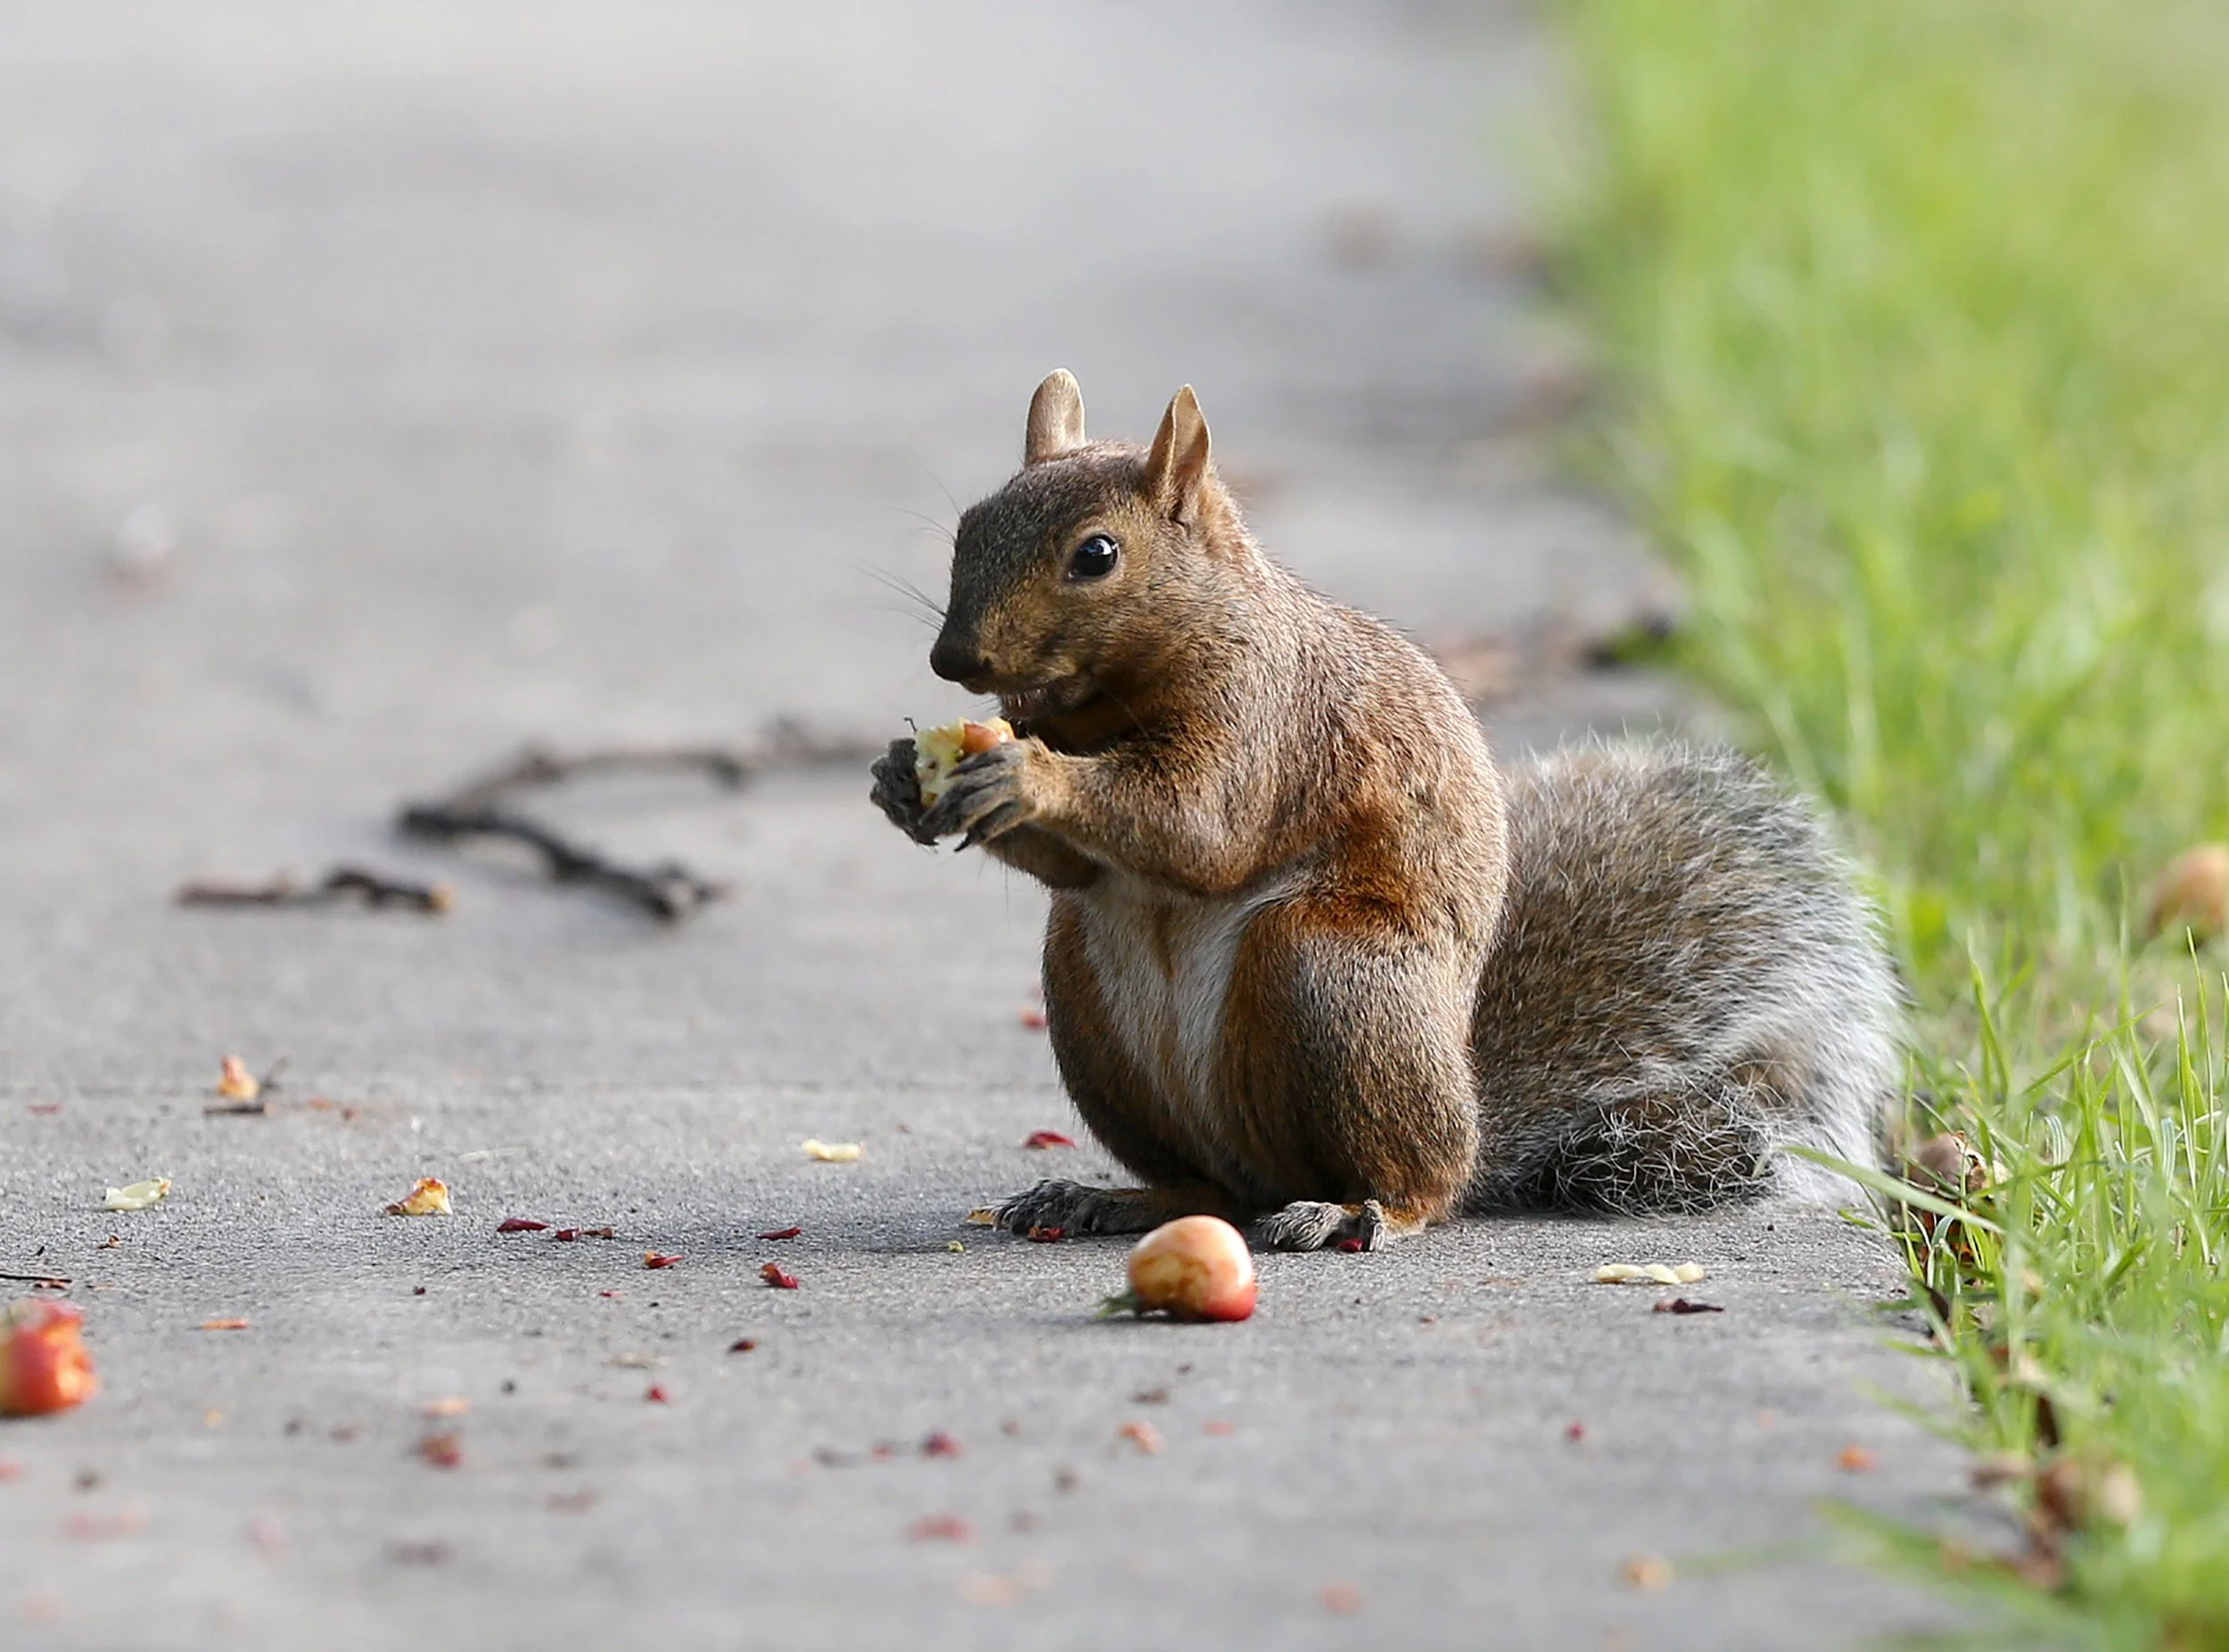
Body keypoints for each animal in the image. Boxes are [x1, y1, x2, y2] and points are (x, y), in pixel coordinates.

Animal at [870, 370, 1902, 1250]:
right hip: (1088, 1003)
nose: (953, 660)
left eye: (1097, 554)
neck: (1103, 702)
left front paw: (1028, 777)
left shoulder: (1270, 717)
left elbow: (1201, 825)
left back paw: (1357, 1208)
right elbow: (1080, 866)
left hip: (1332, 977)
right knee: (1209, 1187)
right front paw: (899, 780)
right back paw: (1110, 1195)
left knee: (1416, 1184)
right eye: (968, 525)